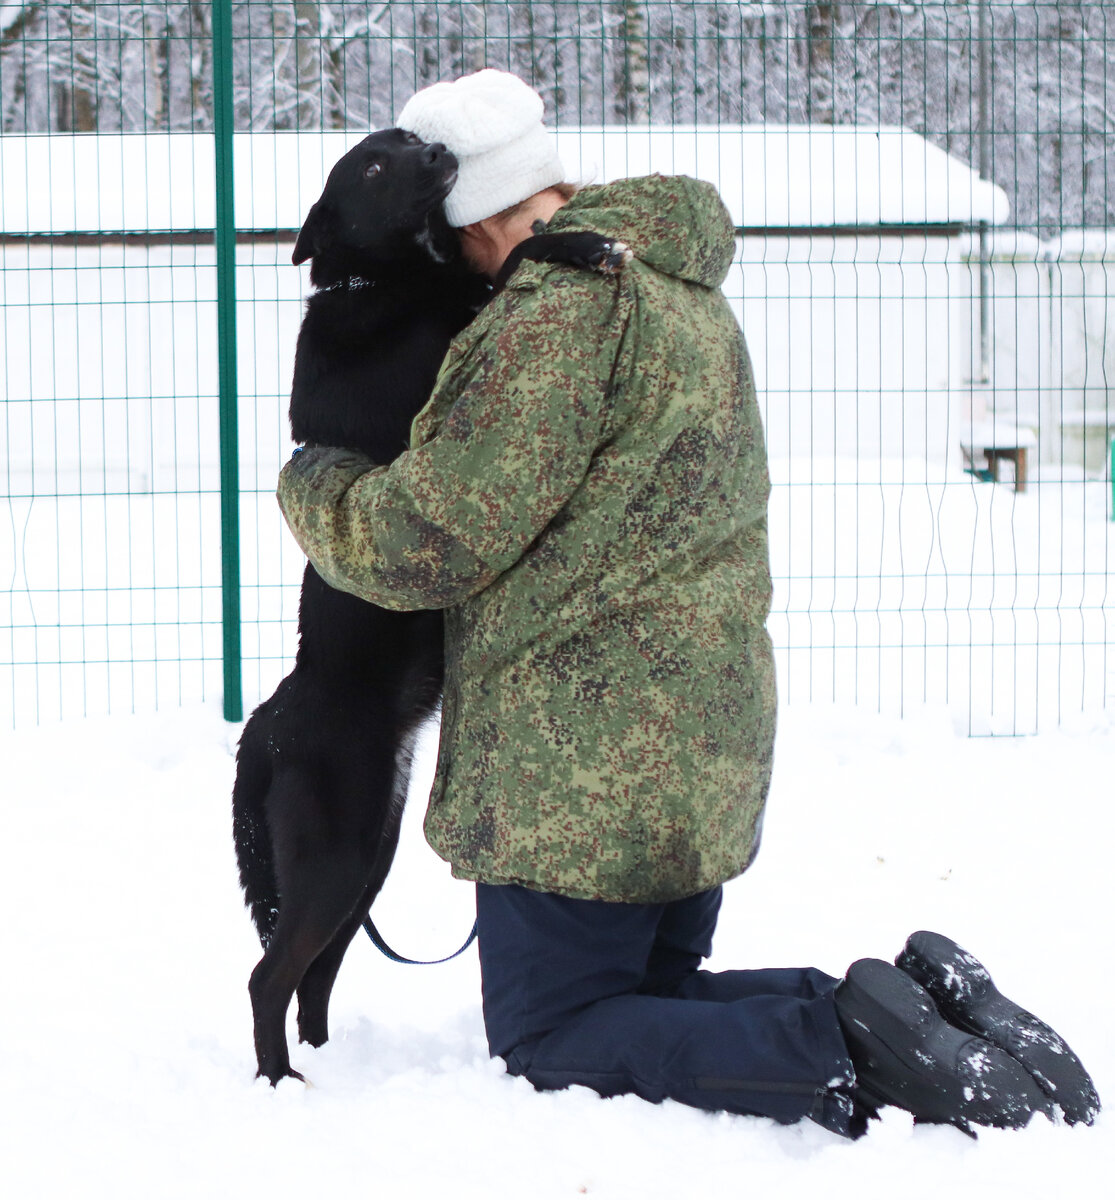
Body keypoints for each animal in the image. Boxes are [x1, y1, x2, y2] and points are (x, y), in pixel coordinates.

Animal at [232, 131, 624, 1089]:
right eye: (373, 167)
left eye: (404, 142)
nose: (439, 146)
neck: (378, 285)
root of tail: (262, 732)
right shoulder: (444, 360)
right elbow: (511, 268)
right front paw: (577, 243)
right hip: (334, 859)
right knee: (271, 975)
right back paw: (280, 1085)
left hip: (368, 860)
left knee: (315, 976)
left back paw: (325, 1067)